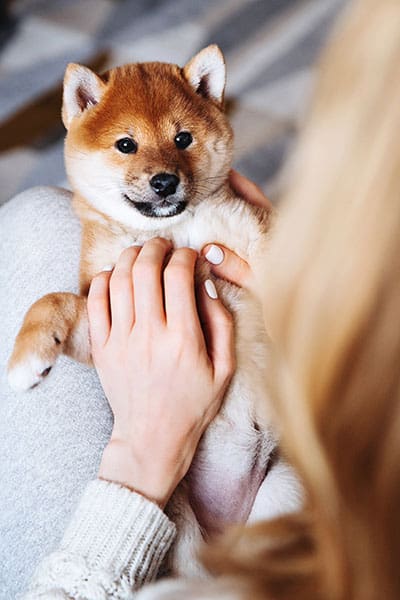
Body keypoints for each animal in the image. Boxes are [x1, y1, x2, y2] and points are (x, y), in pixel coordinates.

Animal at [7, 45, 300, 572]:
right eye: (126, 145)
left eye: (182, 138)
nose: (164, 181)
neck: (168, 233)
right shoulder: (103, 314)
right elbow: (50, 301)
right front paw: (27, 359)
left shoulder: (257, 243)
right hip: (181, 527)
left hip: (281, 491)